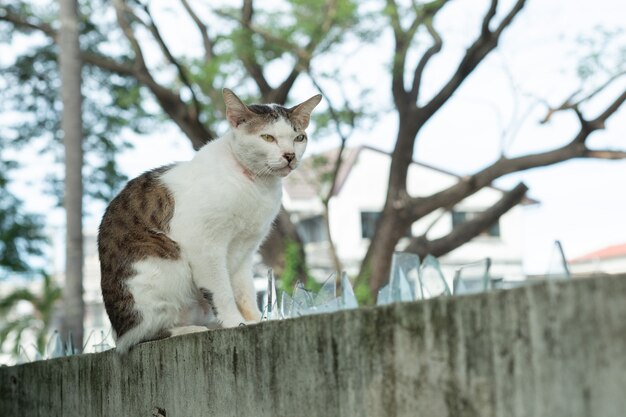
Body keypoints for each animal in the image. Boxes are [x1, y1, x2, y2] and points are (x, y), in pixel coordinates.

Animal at [98, 88, 322, 352]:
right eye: (268, 137)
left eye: (299, 138)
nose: (290, 156)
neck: (256, 185)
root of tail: (119, 330)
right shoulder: (206, 246)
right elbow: (221, 291)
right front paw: (235, 322)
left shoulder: (245, 251)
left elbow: (245, 291)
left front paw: (255, 320)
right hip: (160, 269)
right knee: (144, 335)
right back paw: (188, 329)